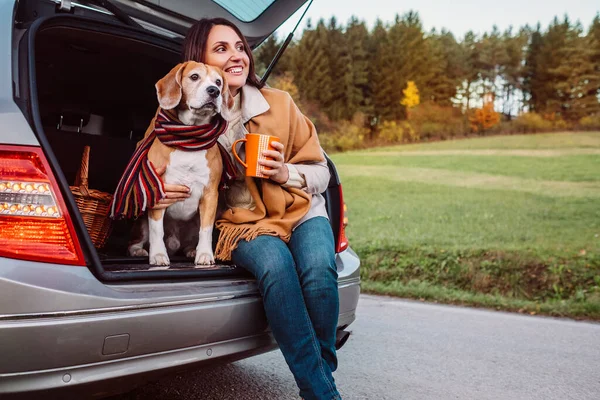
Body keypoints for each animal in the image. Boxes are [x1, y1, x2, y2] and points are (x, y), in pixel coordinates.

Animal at [126, 61, 232, 268]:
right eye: (194, 77)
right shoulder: (159, 191)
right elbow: (157, 230)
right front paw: (158, 255)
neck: (189, 138)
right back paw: (138, 250)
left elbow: (206, 230)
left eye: (218, 82)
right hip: (141, 222)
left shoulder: (210, 195)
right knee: (135, 240)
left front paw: (204, 254)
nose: (214, 91)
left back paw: (192, 250)